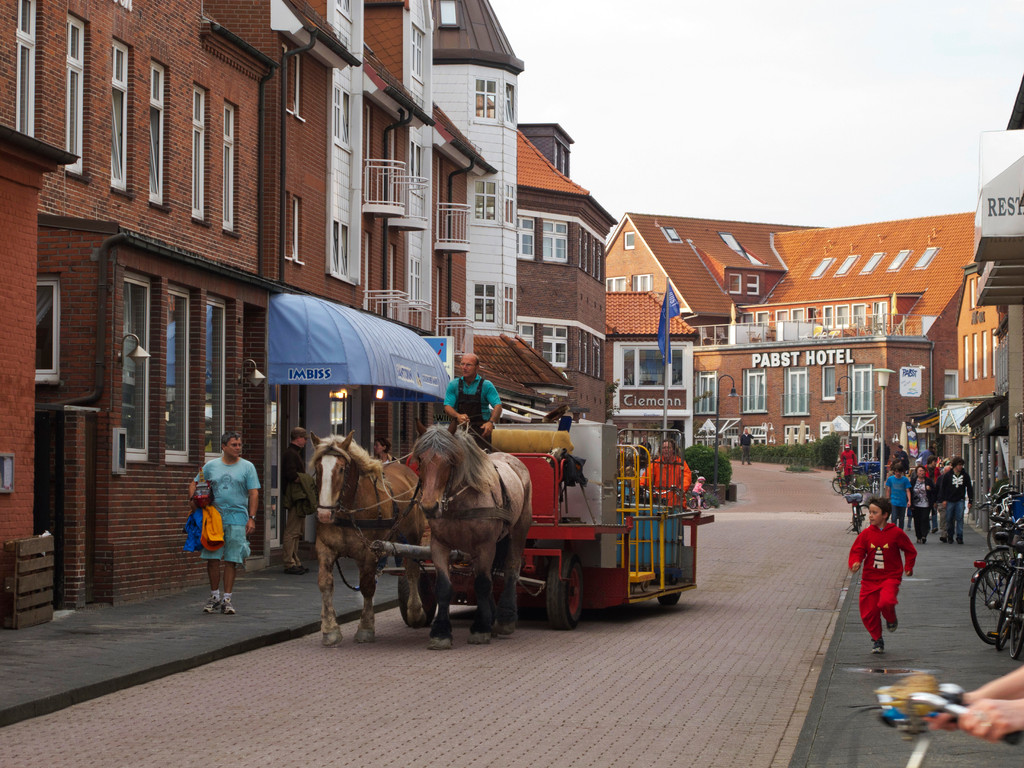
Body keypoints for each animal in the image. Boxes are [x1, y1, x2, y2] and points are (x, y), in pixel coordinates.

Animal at [309, 434, 425, 643]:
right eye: (318, 468)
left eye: (341, 469)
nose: (324, 514)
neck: (349, 511)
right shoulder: (325, 548)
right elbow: (325, 583)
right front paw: (330, 629)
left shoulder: (370, 551)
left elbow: (367, 586)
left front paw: (366, 627)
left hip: (413, 538)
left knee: (412, 572)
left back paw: (415, 612)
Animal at [409, 428, 536, 651]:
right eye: (420, 459)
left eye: (450, 460)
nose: (429, 506)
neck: (459, 501)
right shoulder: (439, 545)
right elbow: (444, 587)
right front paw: (440, 632)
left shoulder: (485, 546)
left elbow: (482, 584)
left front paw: (480, 629)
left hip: (519, 529)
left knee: (511, 568)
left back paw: (505, 618)